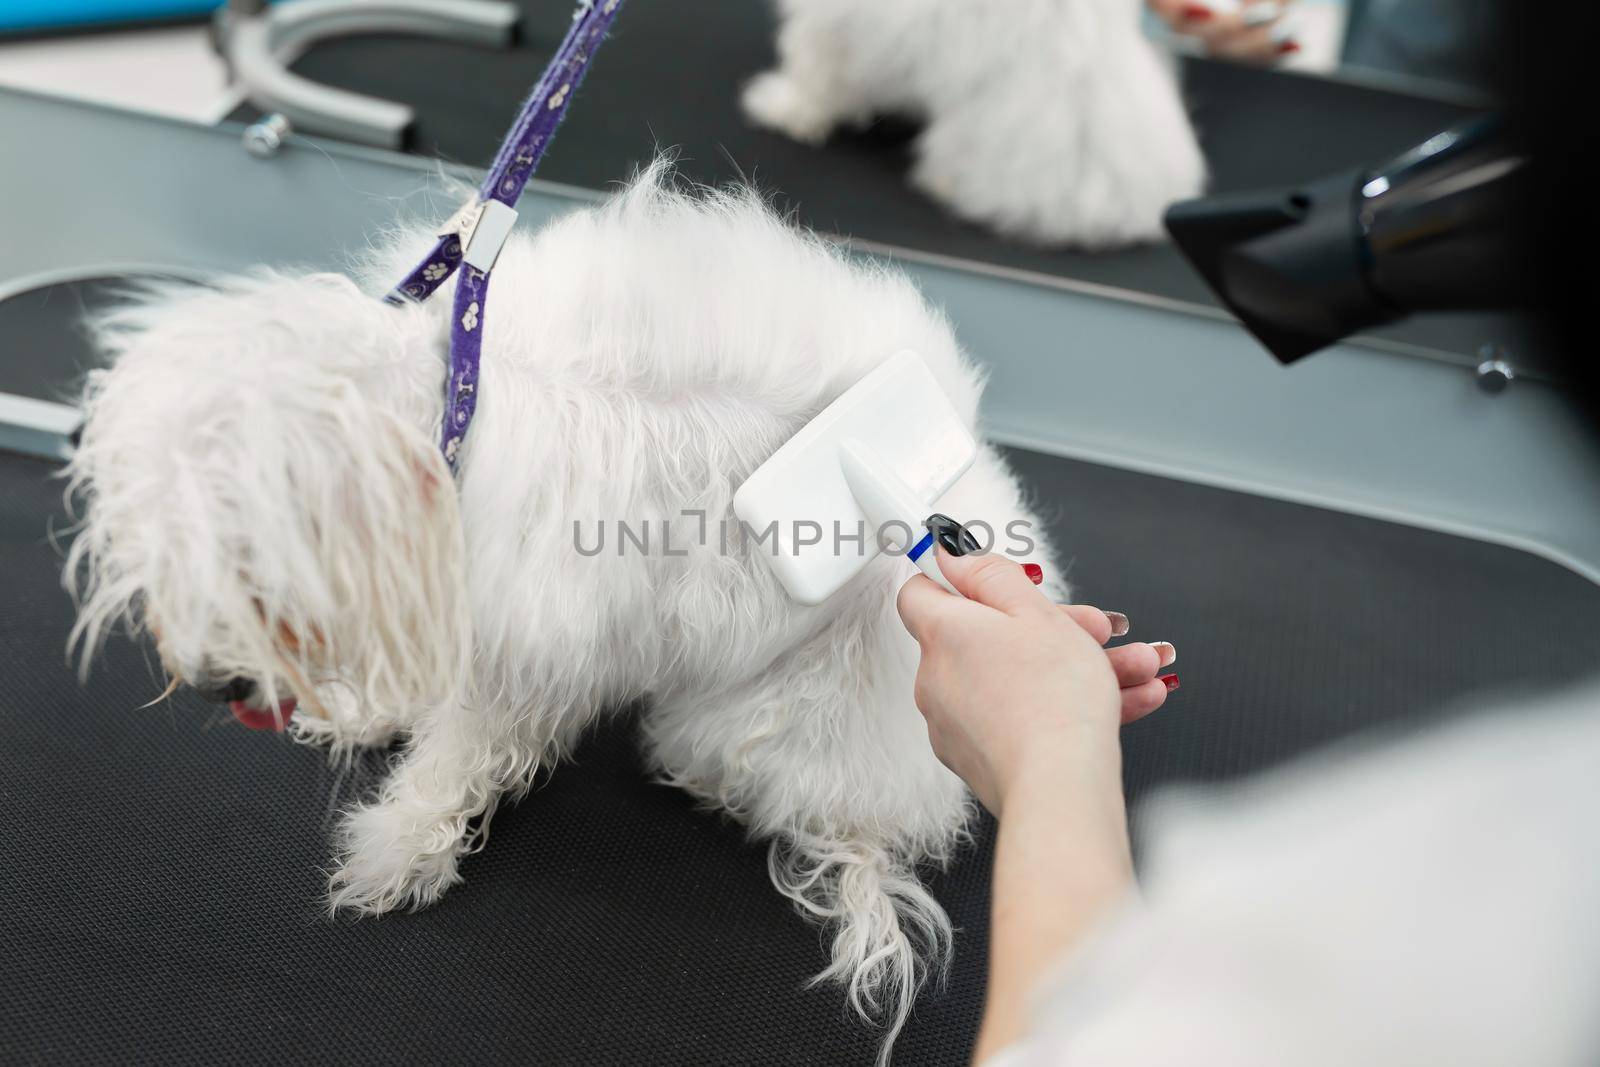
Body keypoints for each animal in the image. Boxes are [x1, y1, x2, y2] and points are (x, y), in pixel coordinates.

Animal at [65, 167, 1062, 1062]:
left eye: (259, 569)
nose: (213, 682)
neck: (456, 412)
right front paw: (364, 717)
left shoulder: (525, 653)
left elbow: (453, 764)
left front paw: (394, 854)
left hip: (759, 719)